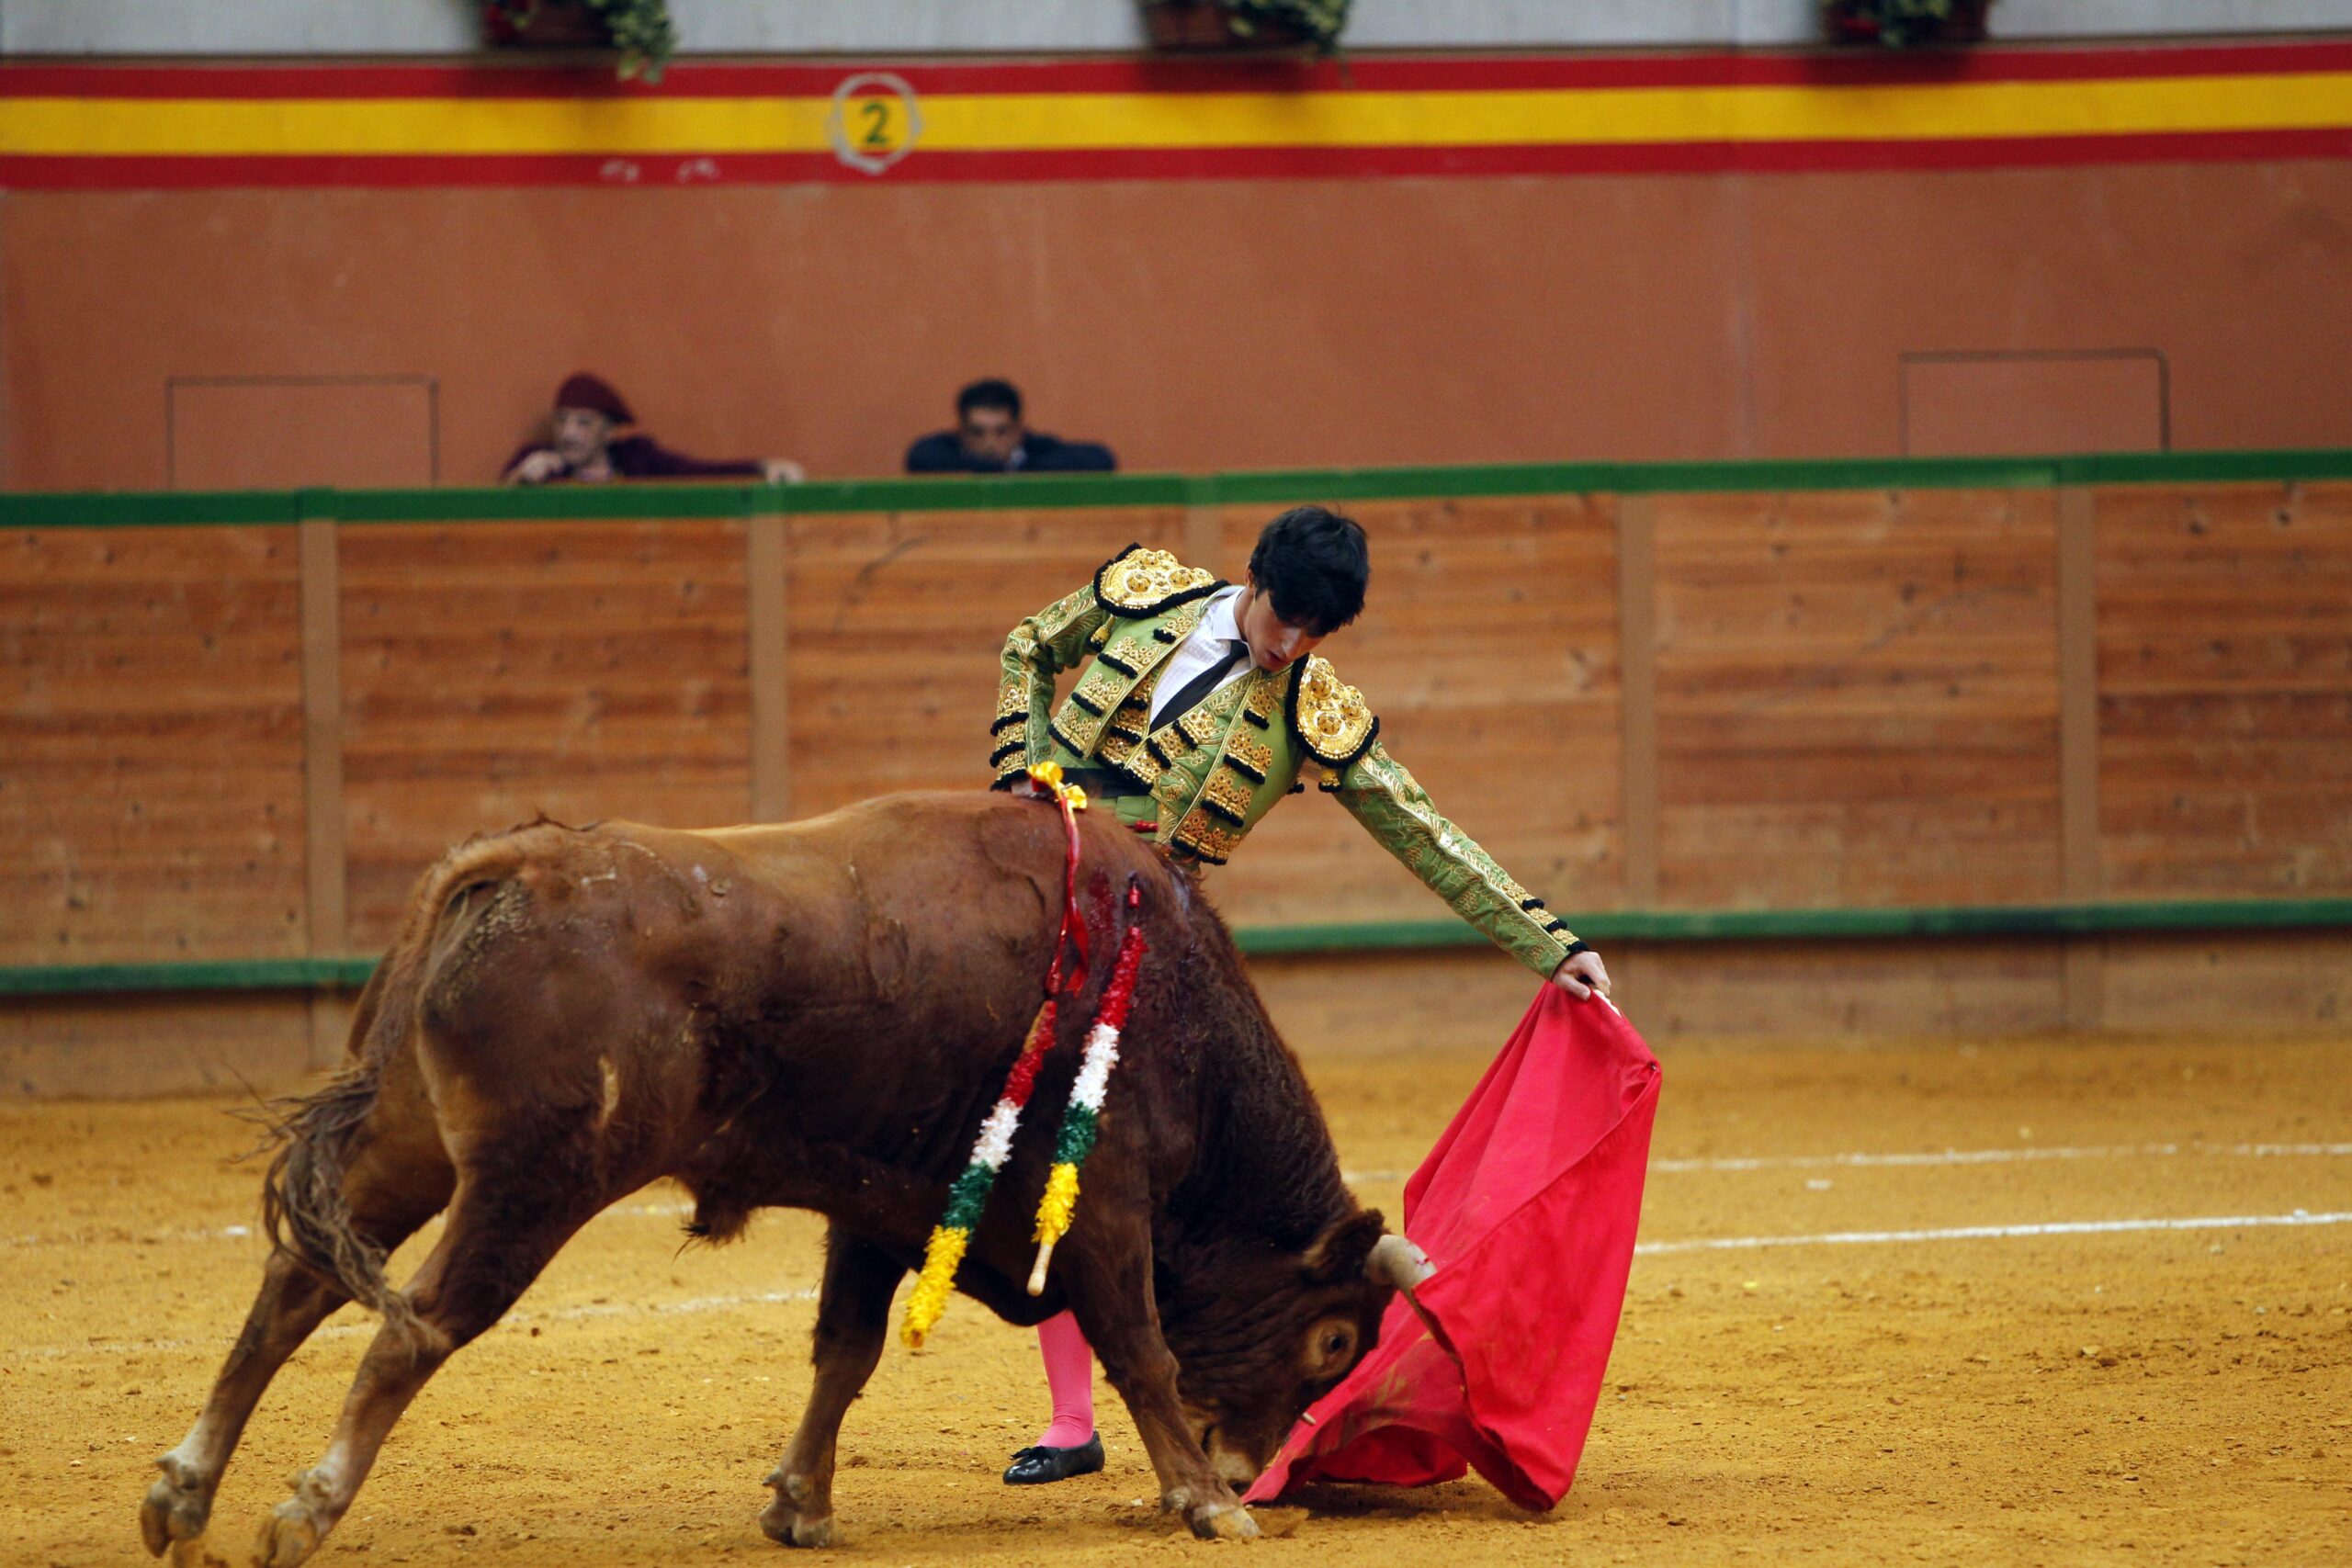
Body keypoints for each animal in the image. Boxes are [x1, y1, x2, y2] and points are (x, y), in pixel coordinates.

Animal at [139, 790, 1431, 1566]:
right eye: (1331, 1339)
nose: (1252, 1469)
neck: (1162, 996)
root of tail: (519, 862)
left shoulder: (885, 1208)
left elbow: (842, 1355)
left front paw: (799, 1503)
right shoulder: (1106, 1200)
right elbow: (1142, 1349)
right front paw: (1205, 1504)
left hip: (404, 1142)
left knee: (292, 1291)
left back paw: (183, 1495)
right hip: (530, 1184)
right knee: (412, 1327)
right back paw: (302, 1510)